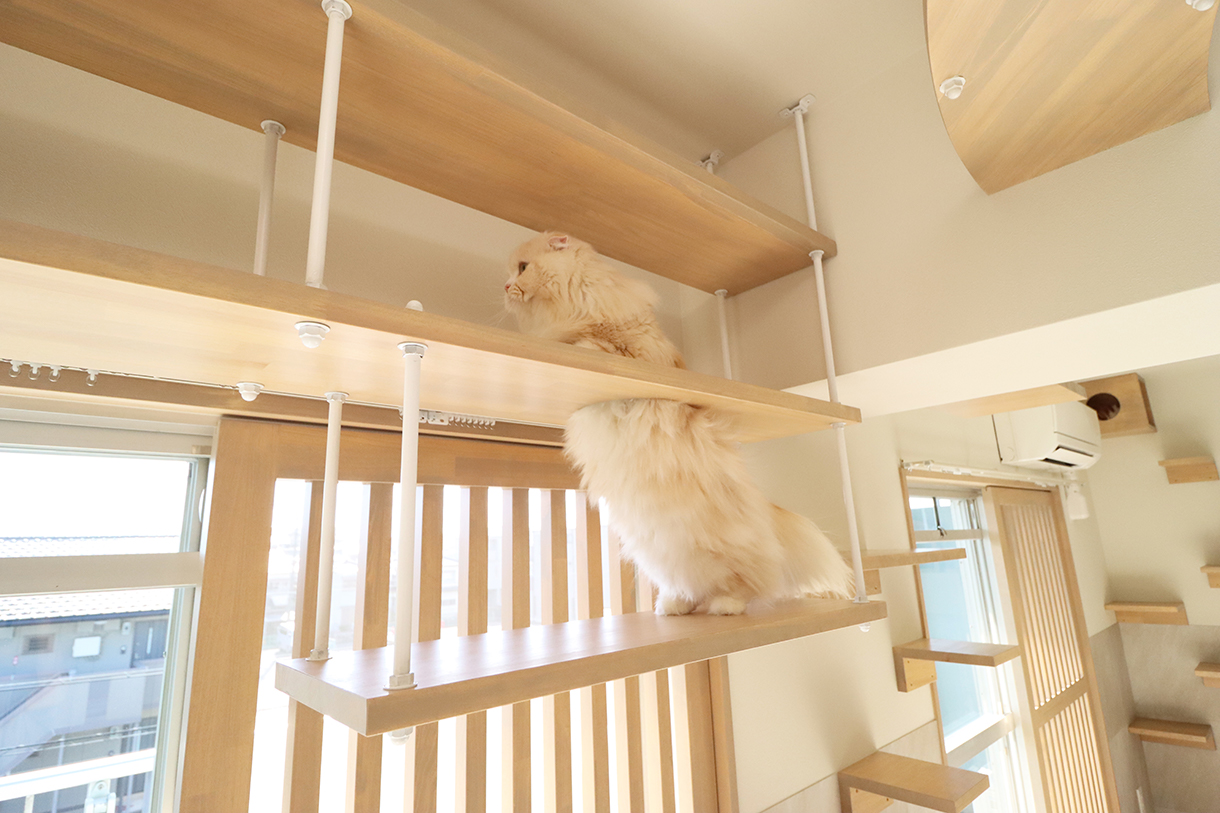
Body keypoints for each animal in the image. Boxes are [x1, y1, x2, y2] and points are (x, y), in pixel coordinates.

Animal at [505, 231, 853, 615]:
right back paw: (673, 607)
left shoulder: (636, 350)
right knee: (690, 586)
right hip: (662, 555)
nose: (506, 286)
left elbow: (600, 345)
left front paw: (586, 343)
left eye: (523, 268)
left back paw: (724, 606)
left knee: (745, 583)